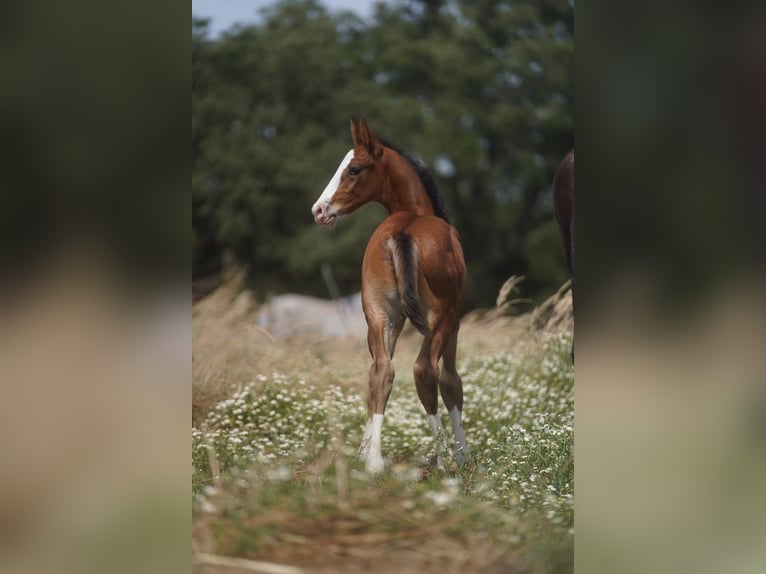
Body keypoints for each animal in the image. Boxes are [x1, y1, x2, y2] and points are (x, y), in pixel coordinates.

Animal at [312, 119, 468, 474]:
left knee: (381, 370)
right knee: (425, 370)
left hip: (377, 313)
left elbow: (380, 372)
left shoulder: (393, 320)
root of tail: (404, 231)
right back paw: (442, 459)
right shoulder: (455, 321)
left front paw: (363, 451)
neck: (415, 210)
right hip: (442, 318)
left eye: (354, 168)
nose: (319, 210)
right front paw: (463, 455)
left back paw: (373, 462)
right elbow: (452, 382)